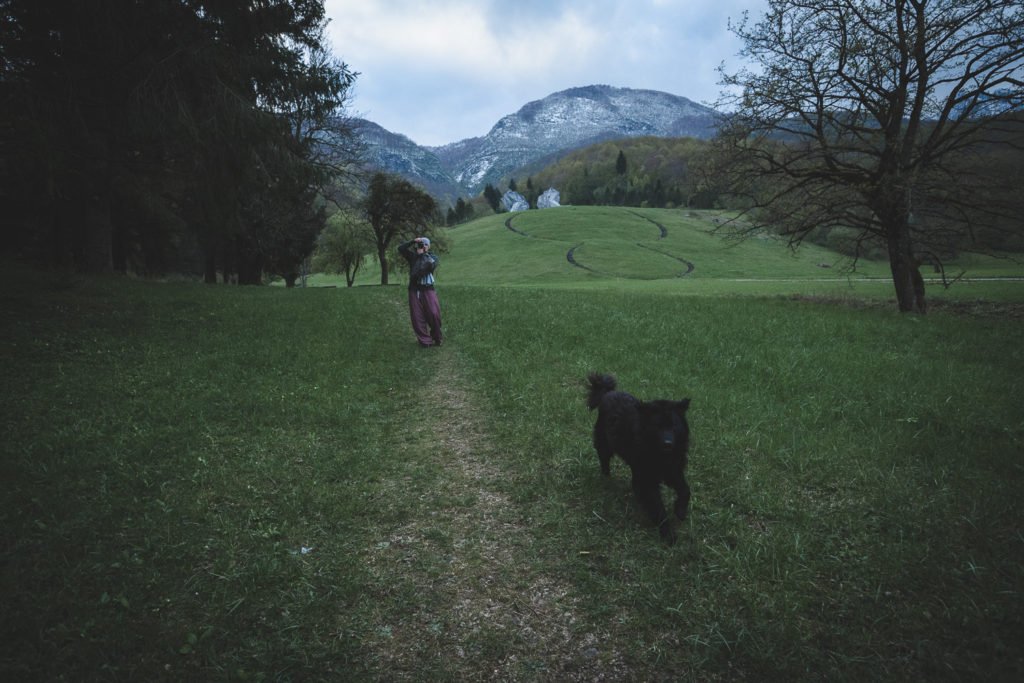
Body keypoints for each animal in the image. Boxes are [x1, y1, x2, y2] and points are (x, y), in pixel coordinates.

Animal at [587, 372, 691, 544]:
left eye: (674, 425)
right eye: (657, 426)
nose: (668, 444)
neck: (660, 455)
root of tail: (608, 393)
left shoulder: (673, 471)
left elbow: (685, 490)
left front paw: (680, 510)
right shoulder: (648, 478)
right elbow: (658, 507)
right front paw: (668, 534)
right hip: (605, 444)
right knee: (604, 461)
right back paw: (607, 478)